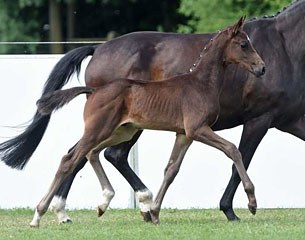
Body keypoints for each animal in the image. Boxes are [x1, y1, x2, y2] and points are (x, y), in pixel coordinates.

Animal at [0, 0, 302, 222]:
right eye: (243, 44)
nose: (262, 68)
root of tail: (98, 49)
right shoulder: (243, 122)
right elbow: (236, 155)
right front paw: (242, 206)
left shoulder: (187, 133)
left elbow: (172, 168)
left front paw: (156, 210)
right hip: (107, 128)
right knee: (79, 156)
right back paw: (52, 212)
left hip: (120, 130)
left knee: (92, 154)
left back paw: (110, 204)